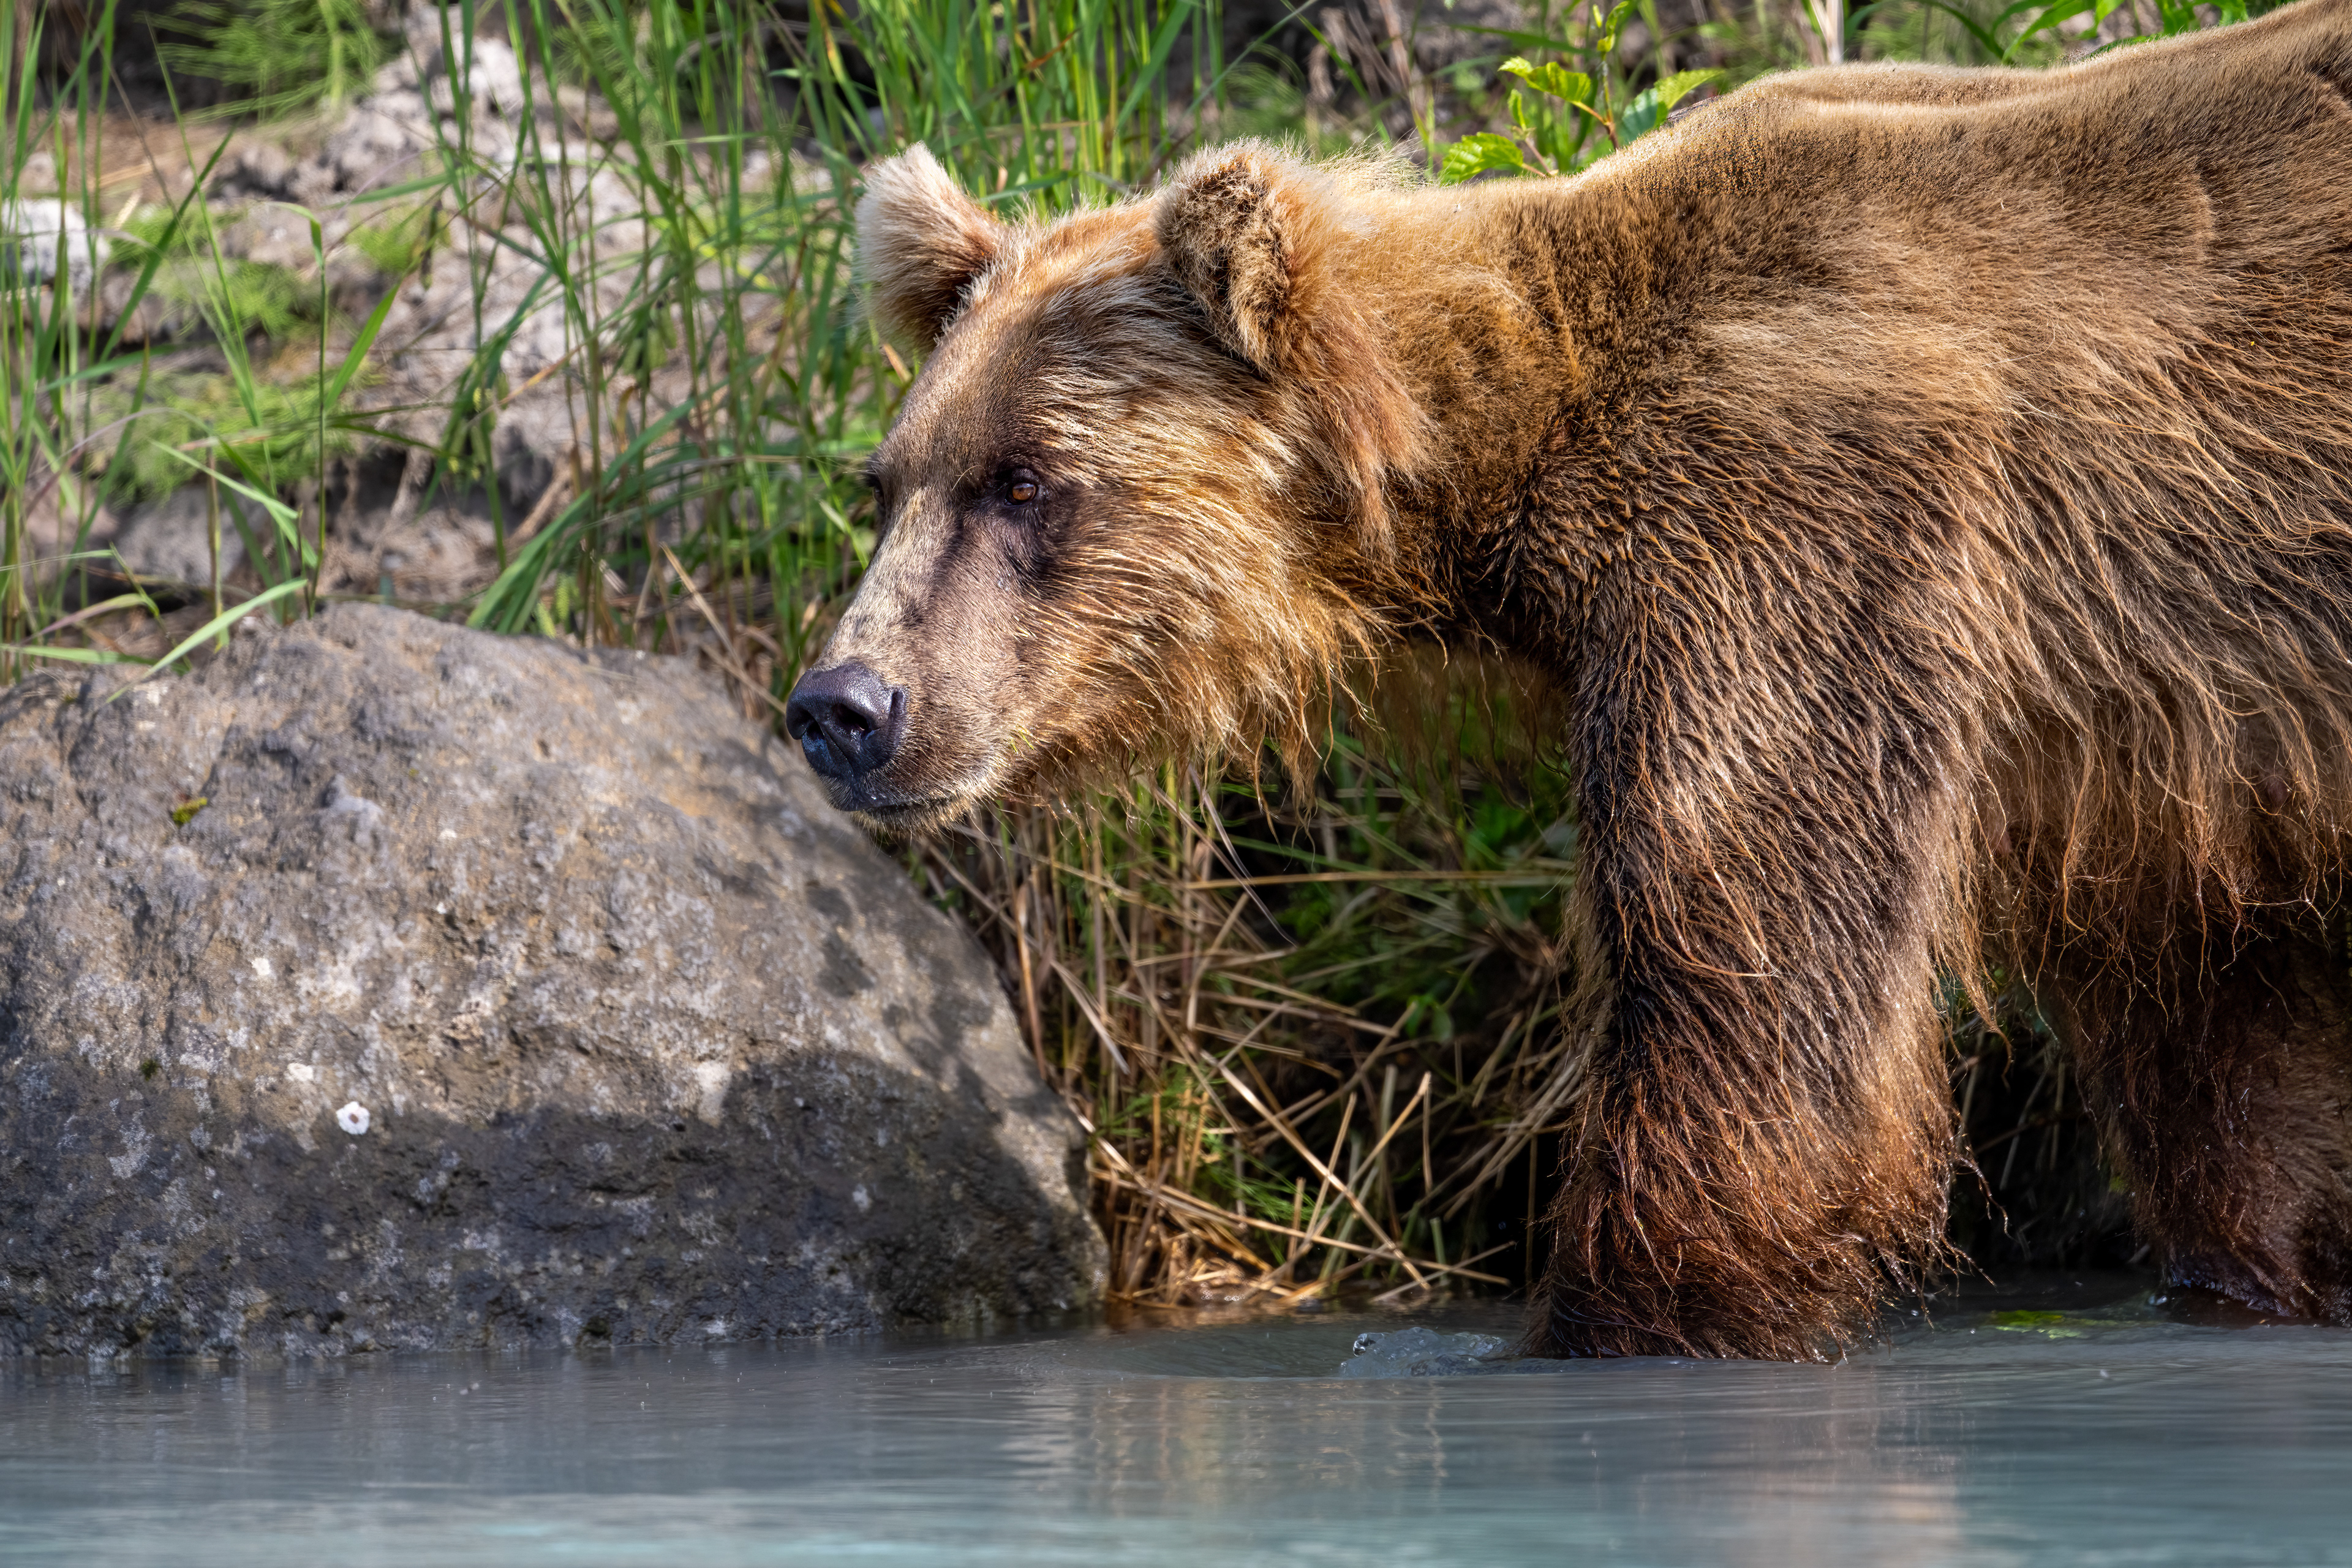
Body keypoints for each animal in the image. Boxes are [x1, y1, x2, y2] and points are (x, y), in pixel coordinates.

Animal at [784, 0, 2352, 1358]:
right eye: (890, 481)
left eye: (1024, 479)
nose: (842, 706)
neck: (1499, 460)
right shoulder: (2171, 733)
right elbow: (2228, 1036)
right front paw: (2265, 1261)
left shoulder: (1803, 535)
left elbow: (1752, 968)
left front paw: (1625, 1314)